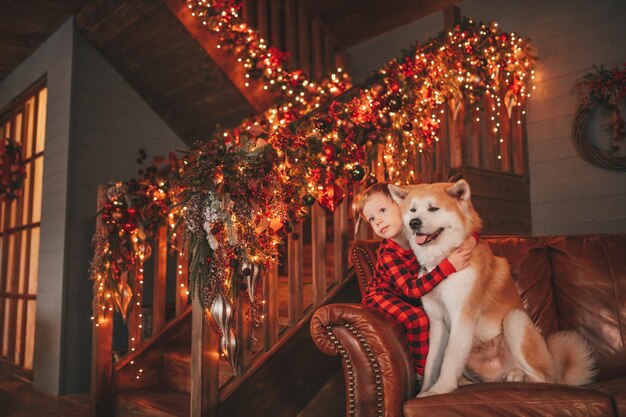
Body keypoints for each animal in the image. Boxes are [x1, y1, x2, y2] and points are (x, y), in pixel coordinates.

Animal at [388, 180, 592, 396]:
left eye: (433, 208)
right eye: (412, 210)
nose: (414, 223)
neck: (443, 262)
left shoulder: (462, 317)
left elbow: (449, 358)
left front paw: (440, 390)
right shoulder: (437, 322)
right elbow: (431, 362)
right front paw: (423, 393)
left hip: (515, 319)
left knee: (542, 378)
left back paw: (518, 376)